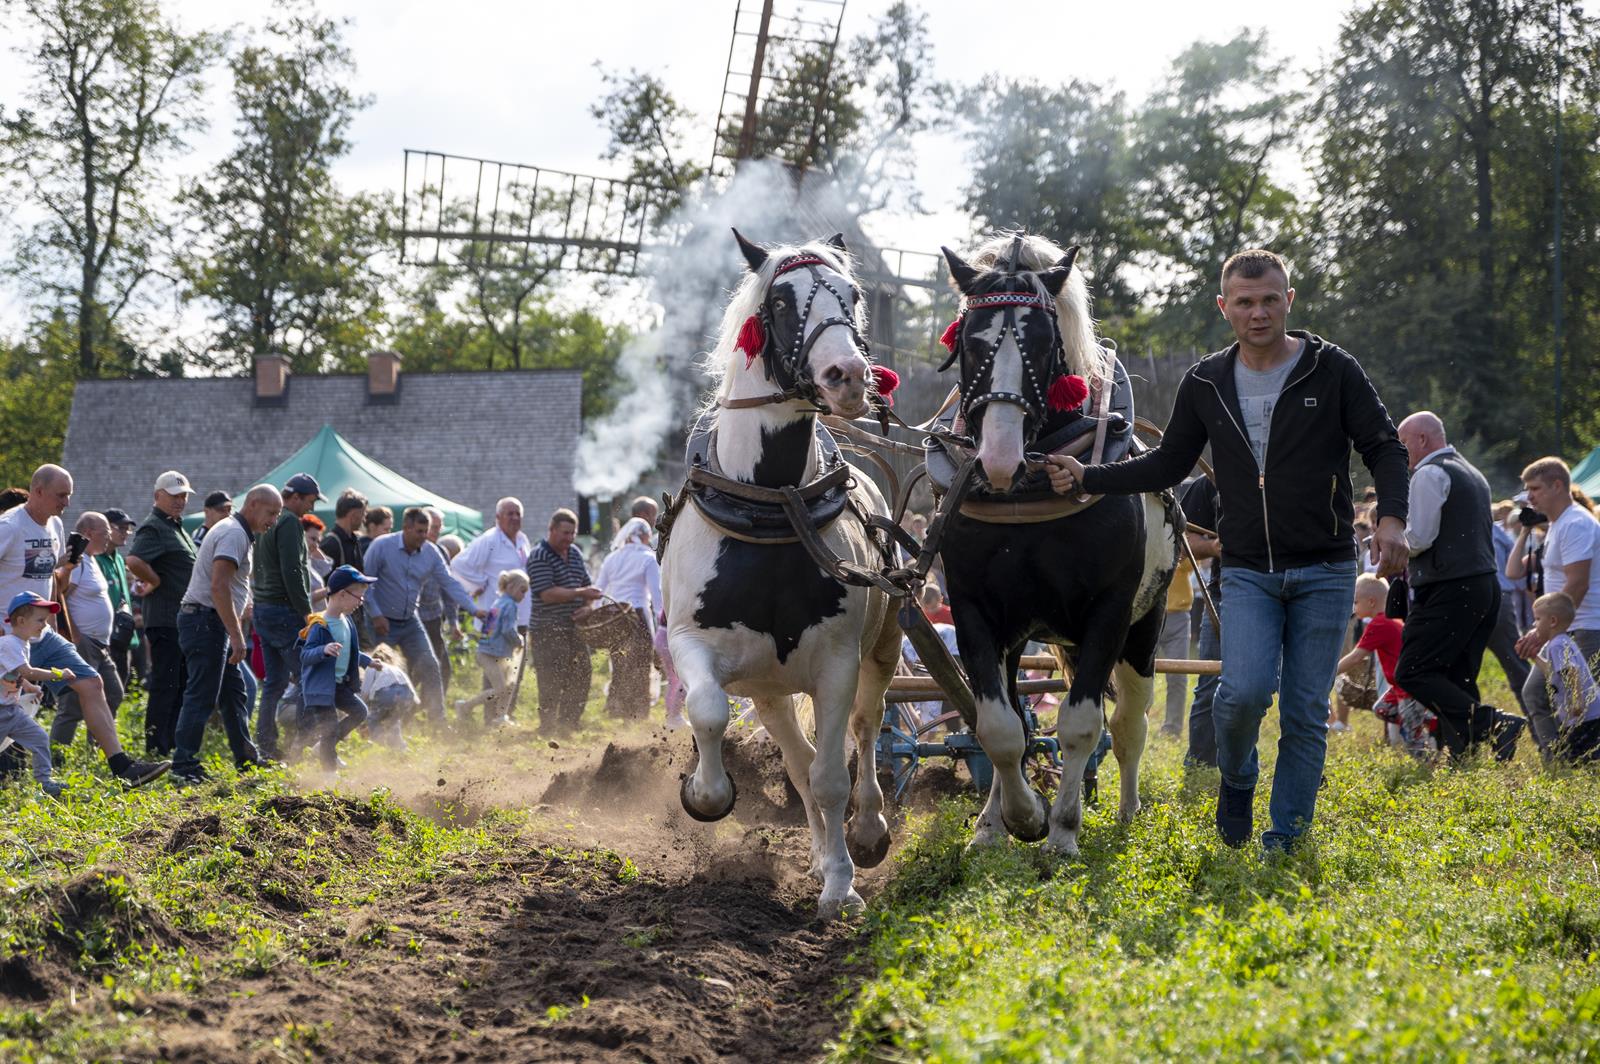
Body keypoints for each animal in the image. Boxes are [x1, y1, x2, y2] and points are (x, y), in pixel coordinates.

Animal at [660, 230, 903, 919]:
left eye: (853, 296)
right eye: (781, 303)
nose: (848, 377)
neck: (771, 506)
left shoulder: (838, 663)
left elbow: (830, 777)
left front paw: (842, 884)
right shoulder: (692, 642)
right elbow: (709, 711)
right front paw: (705, 795)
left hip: (882, 649)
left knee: (864, 733)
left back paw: (865, 833)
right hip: (770, 691)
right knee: (795, 761)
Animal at [933, 233, 1178, 856]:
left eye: (1045, 345)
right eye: (970, 341)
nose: (998, 460)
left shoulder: (1109, 613)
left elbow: (1081, 726)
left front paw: (1063, 831)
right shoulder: (974, 609)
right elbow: (999, 725)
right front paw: (1014, 820)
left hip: (1145, 628)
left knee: (1130, 724)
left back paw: (1126, 812)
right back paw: (994, 819)